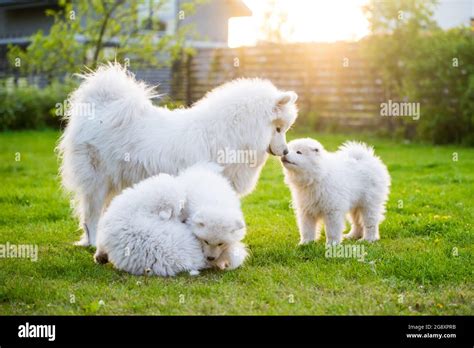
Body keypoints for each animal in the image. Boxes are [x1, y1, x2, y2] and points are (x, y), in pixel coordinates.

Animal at [57, 63, 298, 247]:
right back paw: (93, 243)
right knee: (91, 216)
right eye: (279, 129)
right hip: (97, 182)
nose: (286, 150)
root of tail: (99, 106)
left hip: (112, 182)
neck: (230, 132)